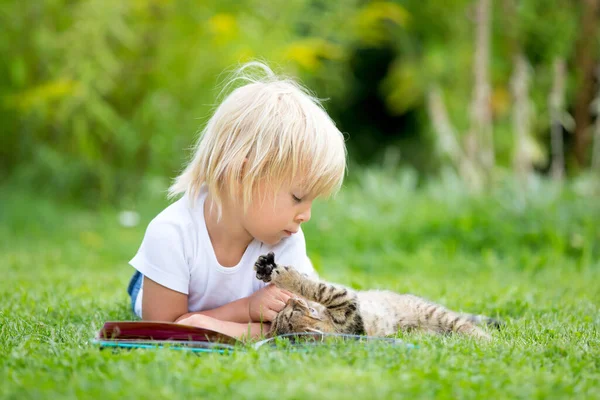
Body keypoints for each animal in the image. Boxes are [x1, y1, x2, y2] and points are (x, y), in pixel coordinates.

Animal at [255, 252, 500, 340]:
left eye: (288, 310)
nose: (290, 300)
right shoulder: (345, 302)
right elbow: (319, 288)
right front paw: (285, 276)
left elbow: (314, 285)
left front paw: (273, 271)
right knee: (467, 328)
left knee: (468, 326)